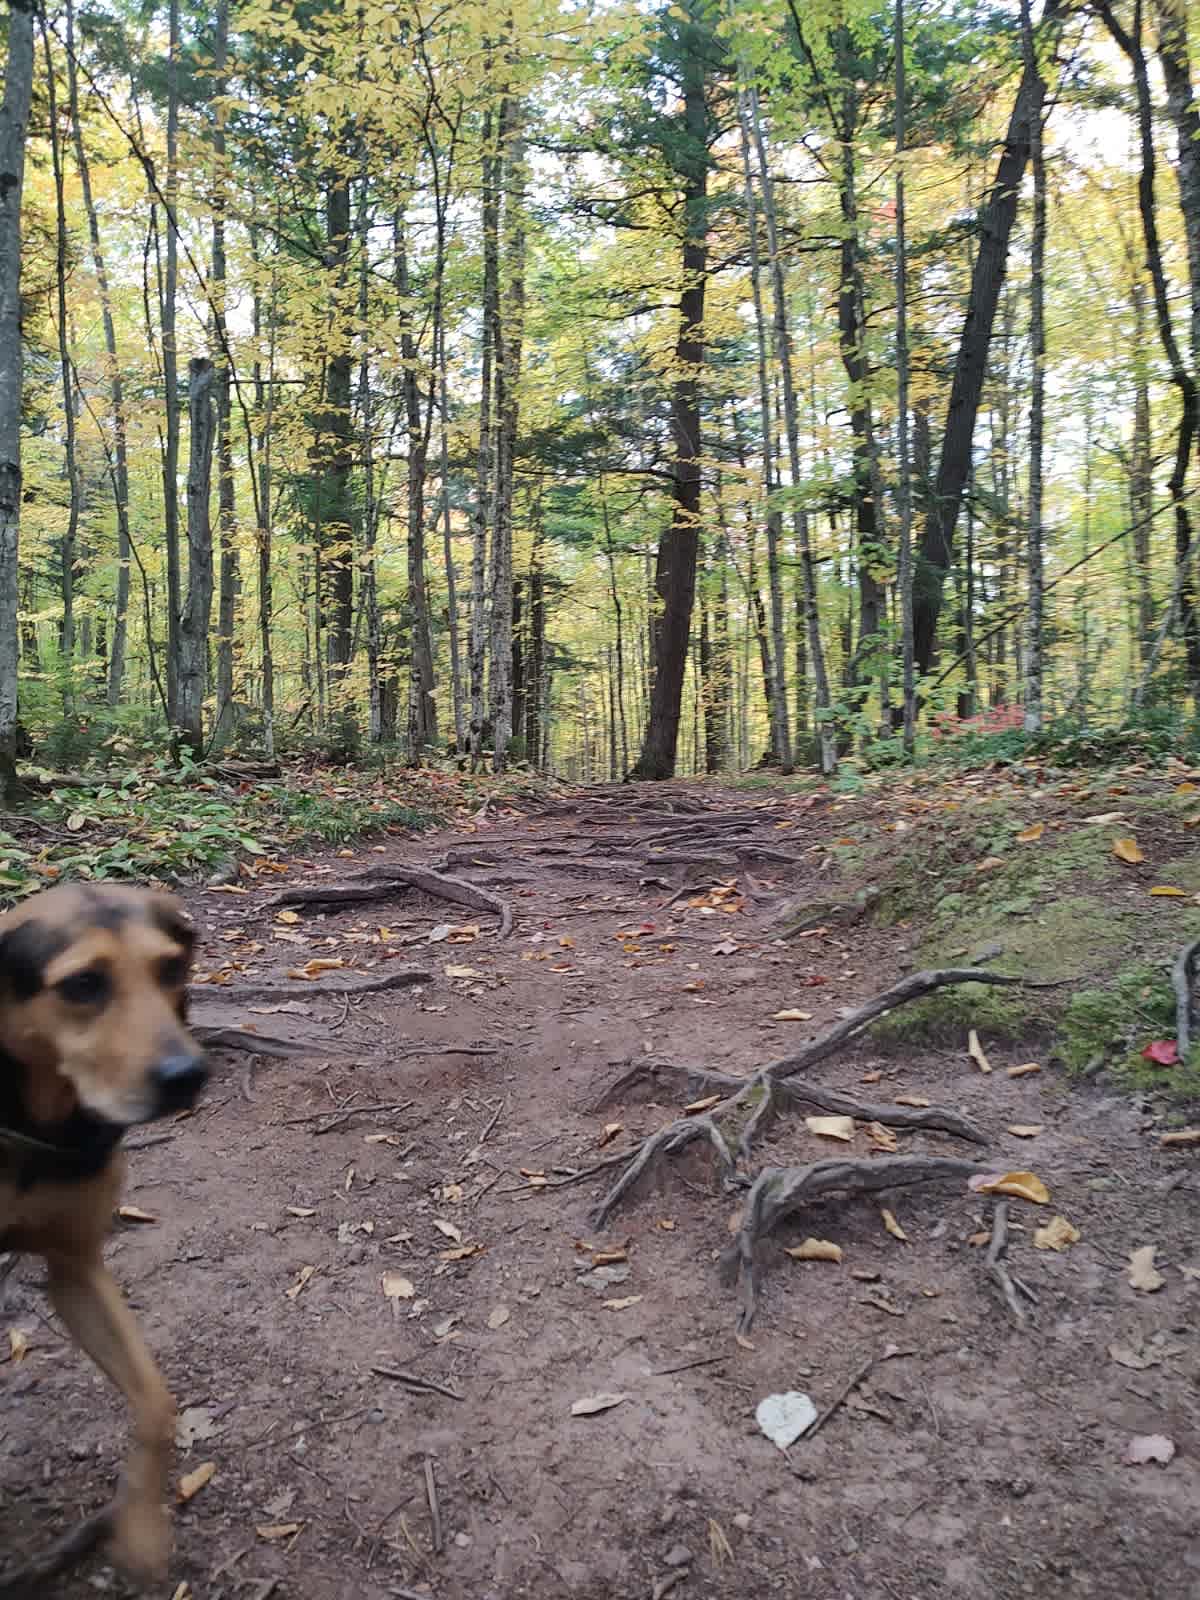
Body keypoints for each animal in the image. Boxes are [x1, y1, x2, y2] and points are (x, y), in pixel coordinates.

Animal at [0, 883, 208, 1580]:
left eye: (172, 967)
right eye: (82, 984)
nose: (186, 1076)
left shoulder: (77, 1268)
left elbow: (157, 1404)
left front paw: (140, 1531)